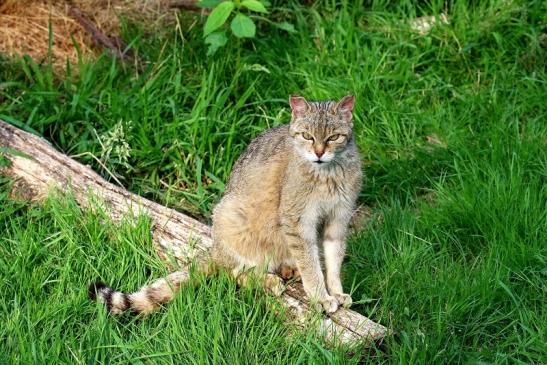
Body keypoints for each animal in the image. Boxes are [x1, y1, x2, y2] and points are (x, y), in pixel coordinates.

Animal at [90, 94, 364, 312]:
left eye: (333, 137)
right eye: (307, 136)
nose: (319, 153)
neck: (328, 174)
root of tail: (216, 249)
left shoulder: (338, 218)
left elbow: (333, 261)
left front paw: (335, 291)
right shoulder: (297, 220)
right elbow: (310, 266)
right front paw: (320, 297)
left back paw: (287, 269)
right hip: (231, 218)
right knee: (235, 272)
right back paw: (269, 280)